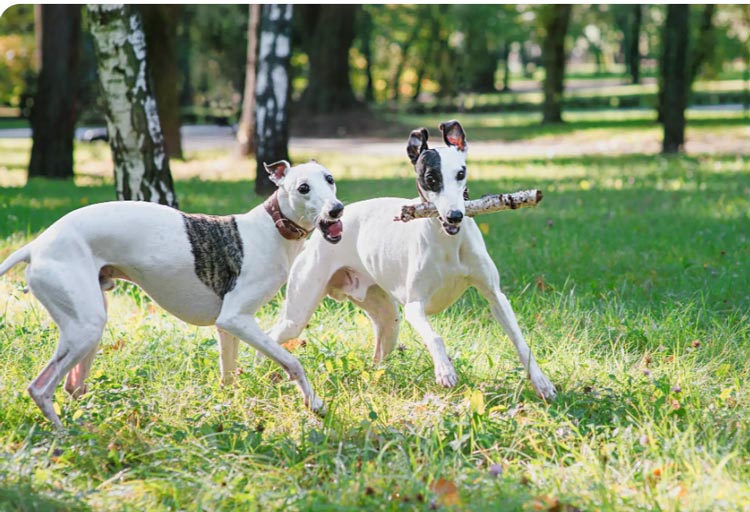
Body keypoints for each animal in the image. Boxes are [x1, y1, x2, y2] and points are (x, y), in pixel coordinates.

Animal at [250, 119, 556, 408]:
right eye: (431, 178)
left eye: (461, 173)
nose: (455, 216)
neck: (447, 241)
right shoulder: (414, 306)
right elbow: (435, 337)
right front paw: (445, 370)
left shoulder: (495, 295)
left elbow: (519, 338)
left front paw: (542, 383)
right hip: (298, 313)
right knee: (273, 335)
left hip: (388, 320)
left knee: (378, 353)